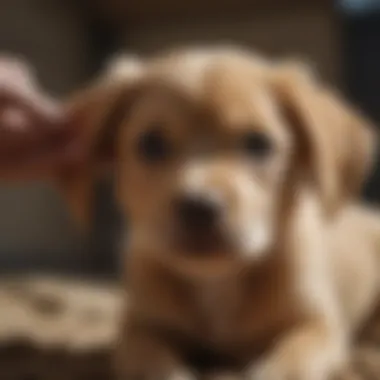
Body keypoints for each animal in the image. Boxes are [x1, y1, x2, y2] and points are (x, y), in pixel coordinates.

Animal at [63, 48, 380, 380]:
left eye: (258, 143)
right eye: (151, 143)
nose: (199, 208)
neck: (217, 282)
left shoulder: (318, 325)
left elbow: (288, 362)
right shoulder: (139, 330)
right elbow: (153, 362)